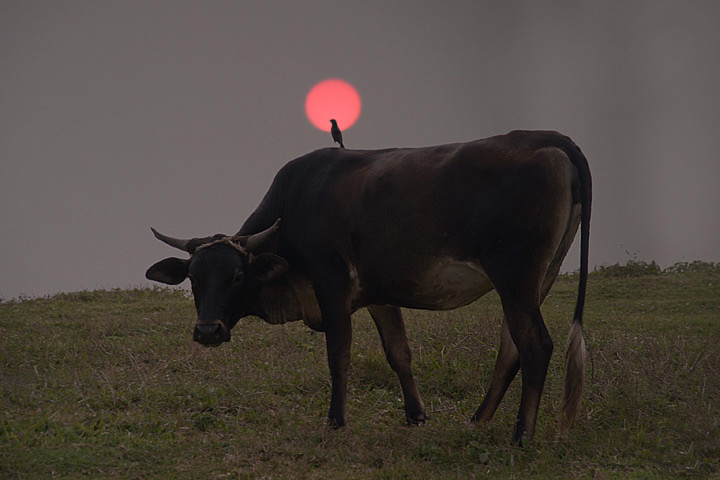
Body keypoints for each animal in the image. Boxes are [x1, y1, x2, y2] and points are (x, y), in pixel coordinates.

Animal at [145, 128, 592, 442]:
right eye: (194, 278)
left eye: (237, 275)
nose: (207, 331)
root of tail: (547, 137)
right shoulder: (380, 295)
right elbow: (399, 353)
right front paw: (416, 414)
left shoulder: (332, 285)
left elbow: (338, 355)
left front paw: (336, 420)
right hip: (541, 276)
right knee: (510, 346)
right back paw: (478, 420)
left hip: (515, 275)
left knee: (535, 345)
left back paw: (521, 435)